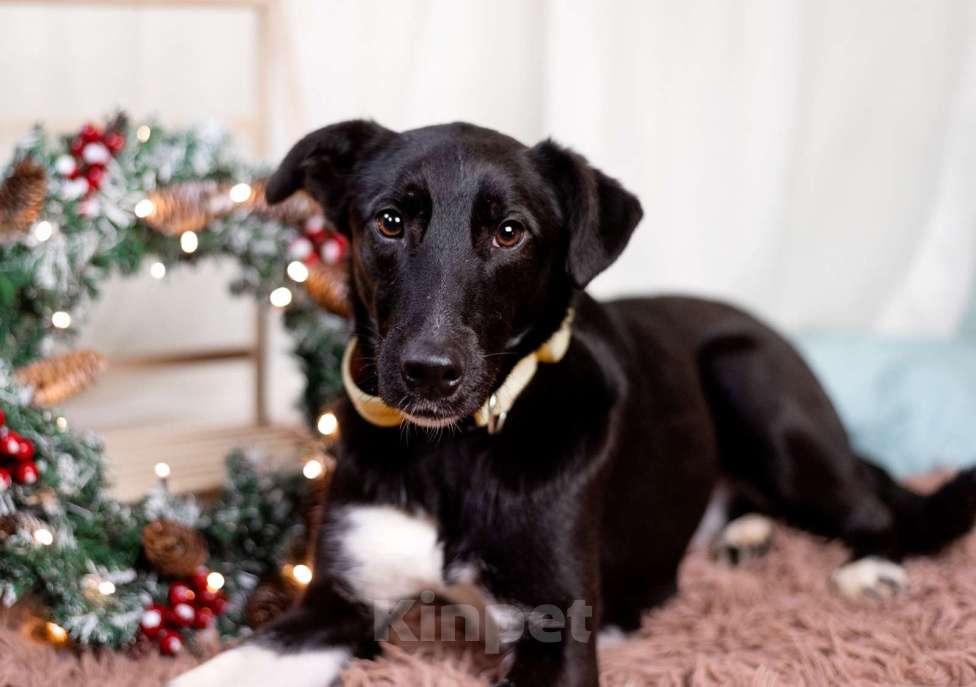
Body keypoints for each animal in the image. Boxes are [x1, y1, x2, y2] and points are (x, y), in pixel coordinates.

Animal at [173, 121, 976, 684]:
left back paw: (868, 567)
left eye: (509, 232)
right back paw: (745, 535)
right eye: (390, 221)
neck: (452, 453)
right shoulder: (336, 602)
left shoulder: (556, 629)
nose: (428, 372)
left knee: (876, 510)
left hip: (753, 384)